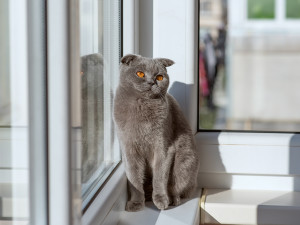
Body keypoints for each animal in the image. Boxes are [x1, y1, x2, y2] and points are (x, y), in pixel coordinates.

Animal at [113, 54, 198, 211]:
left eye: (159, 77)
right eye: (140, 73)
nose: (152, 82)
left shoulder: (163, 147)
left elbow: (160, 176)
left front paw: (161, 200)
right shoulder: (129, 149)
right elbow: (134, 178)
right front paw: (136, 203)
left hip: (185, 162)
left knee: (178, 188)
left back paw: (172, 199)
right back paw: (147, 196)